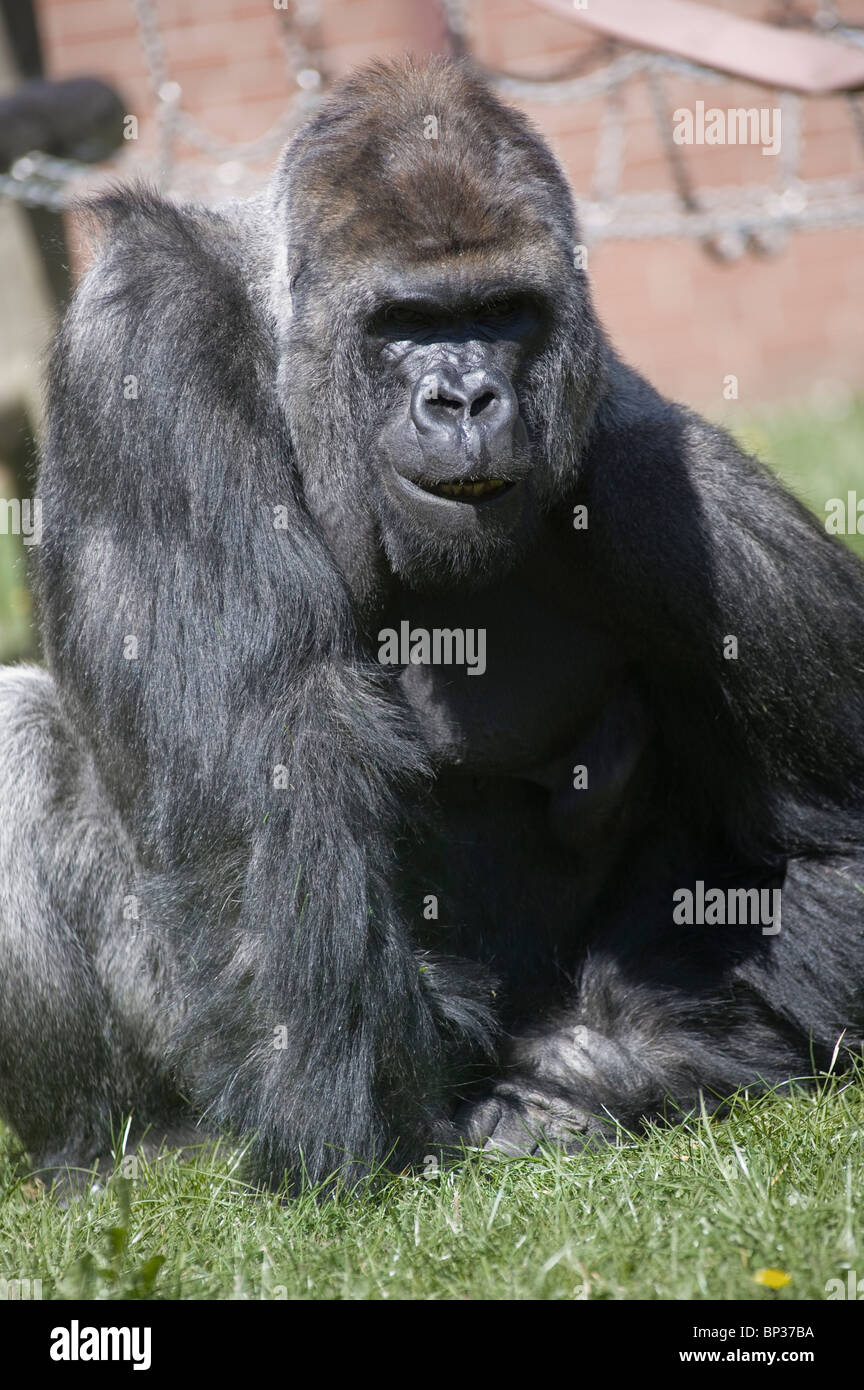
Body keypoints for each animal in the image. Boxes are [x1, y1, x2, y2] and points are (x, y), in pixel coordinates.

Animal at [1, 51, 864, 1184]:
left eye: (502, 311)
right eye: (406, 320)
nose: (465, 398)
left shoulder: (689, 503)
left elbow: (830, 858)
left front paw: (593, 1067)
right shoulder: (149, 332)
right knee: (21, 733)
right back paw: (112, 1153)